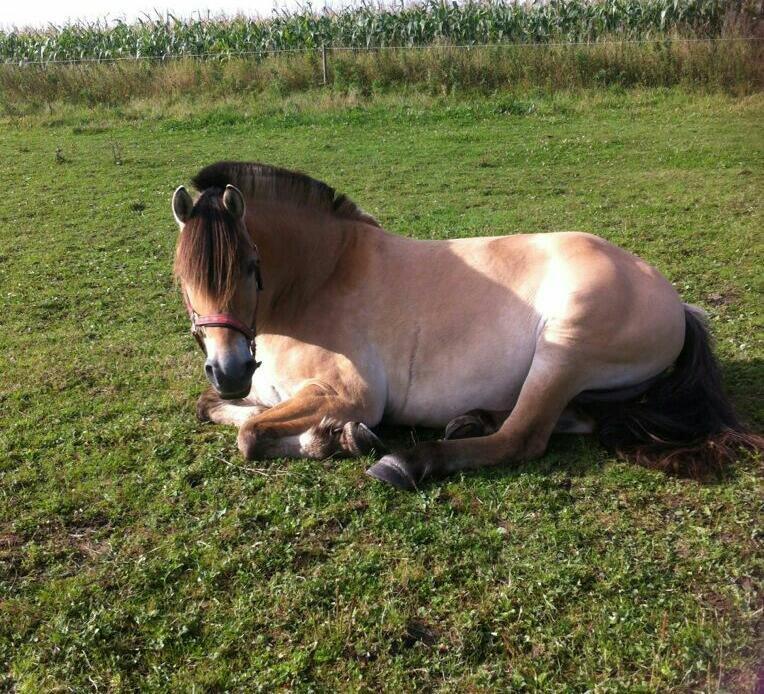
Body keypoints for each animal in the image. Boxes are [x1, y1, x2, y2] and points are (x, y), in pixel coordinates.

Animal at [172, 161, 760, 492]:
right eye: (181, 276)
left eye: (251, 266)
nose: (229, 371)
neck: (321, 280)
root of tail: (679, 305)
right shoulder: (270, 392)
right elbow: (216, 411)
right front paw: (331, 437)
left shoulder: (351, 394)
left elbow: (249, 435)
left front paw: (336, 439)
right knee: (575, 419)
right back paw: (469, 420)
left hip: (564, 350)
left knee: (523, 437)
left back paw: (406, 463)